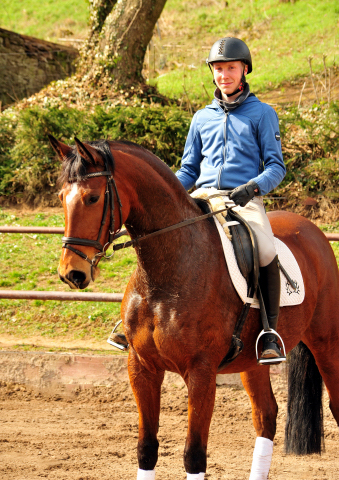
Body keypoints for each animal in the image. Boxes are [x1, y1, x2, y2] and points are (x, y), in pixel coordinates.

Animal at [49, 135, 339, 480]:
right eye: (62, 197)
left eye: (92, 198)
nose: (72, 273)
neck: (167, 273)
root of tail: (312, 229)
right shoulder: (142, 368)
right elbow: (146, 449)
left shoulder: (201, 371)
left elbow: (194, 455)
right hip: (252, 361)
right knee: (266, 415)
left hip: (327, 345)